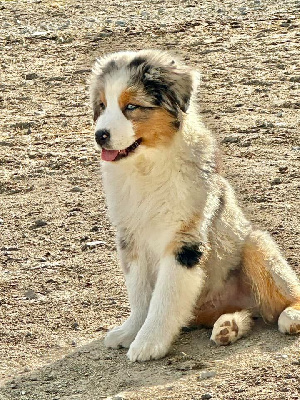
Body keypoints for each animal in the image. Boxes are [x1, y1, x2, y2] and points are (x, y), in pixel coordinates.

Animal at [89, 50, 300, 362]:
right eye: (102, 106)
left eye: (131, 106)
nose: (100, 135)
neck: (147, 166)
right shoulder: (131, 236)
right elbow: (139, 293)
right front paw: (130, 332)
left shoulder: (185, 241)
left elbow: (164, 298)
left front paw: (148, 344)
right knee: (248, 313)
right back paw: (228, 327)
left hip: (255, 244)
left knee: (284, 295)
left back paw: (290, 316)